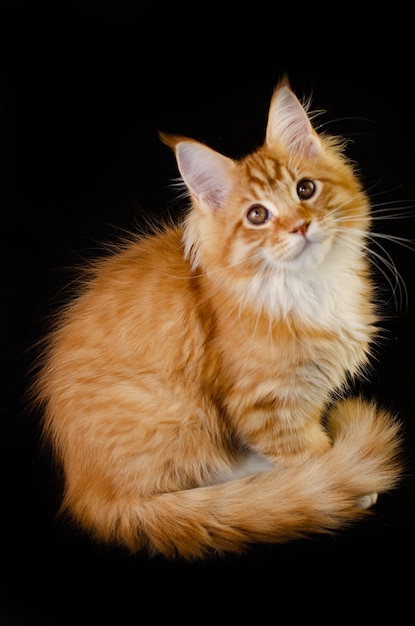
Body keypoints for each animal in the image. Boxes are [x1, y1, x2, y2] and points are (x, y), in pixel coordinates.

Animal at [30, 75, 404, 560]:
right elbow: (311, 458)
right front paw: (342, 479)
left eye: (305, 190)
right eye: (257, 215)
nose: (300, 226)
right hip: (174, 418)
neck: (308, 285)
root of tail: (84, 491)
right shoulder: (268, 405)